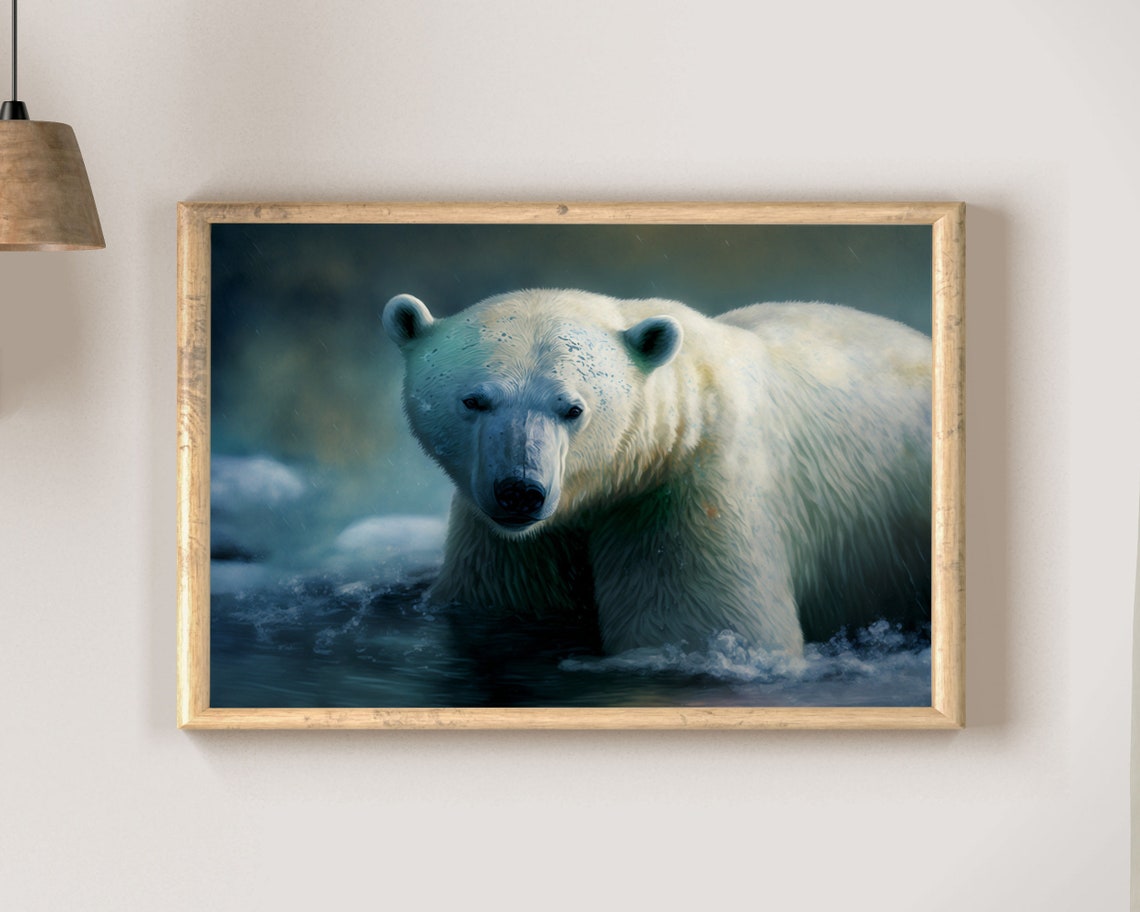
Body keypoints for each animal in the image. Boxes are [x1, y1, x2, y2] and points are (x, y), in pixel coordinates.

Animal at [382, 288, 931, 658]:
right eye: (474, 400)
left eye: (573, 409)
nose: (520, 491)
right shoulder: (514, 545)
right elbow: (503, 607)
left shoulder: (689, 497)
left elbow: (693, 631)